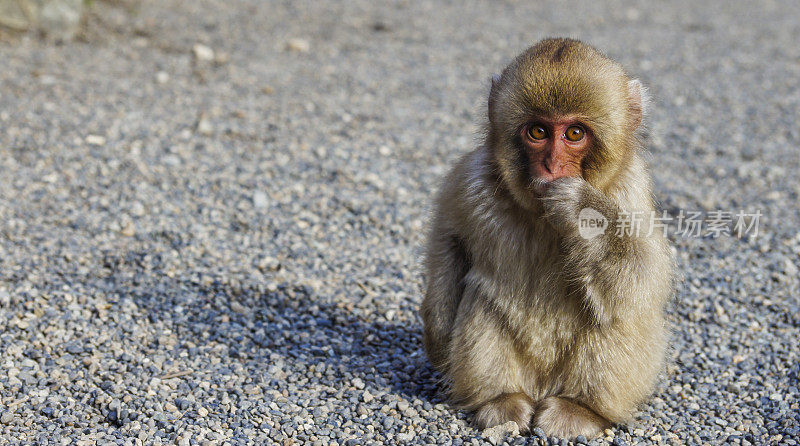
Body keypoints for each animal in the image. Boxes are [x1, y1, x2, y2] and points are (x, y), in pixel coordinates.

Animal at [422, 39, 672, 440]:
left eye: (574, 134)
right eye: (538, 132)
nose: (552, 166)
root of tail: (541, 388)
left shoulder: (630, 190)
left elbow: (643, 277)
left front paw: (584, 210)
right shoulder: (470, 181)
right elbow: (450, 240)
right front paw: (437, 336)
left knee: (613, 308)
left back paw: (582, 409)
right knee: (483, 297)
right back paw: (500, 401)